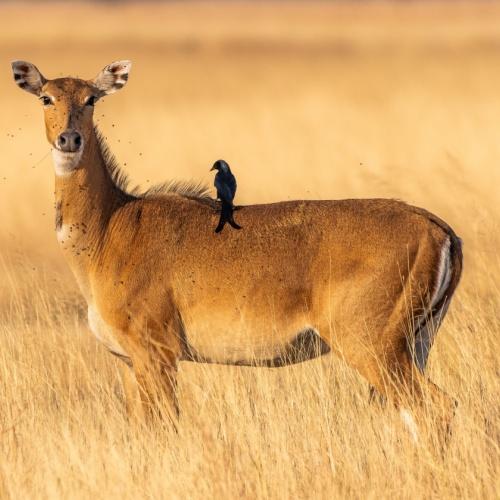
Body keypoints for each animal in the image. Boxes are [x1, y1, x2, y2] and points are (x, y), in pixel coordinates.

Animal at [11, 61, 462, 442]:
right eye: (46, 97)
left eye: (91, 98)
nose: (70, 139)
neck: (110, 226)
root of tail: (440, 231)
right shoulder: (127, 361)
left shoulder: (157, 352)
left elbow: (164, 428)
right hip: (415, 342)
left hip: (371, 344)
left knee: (436, 407)